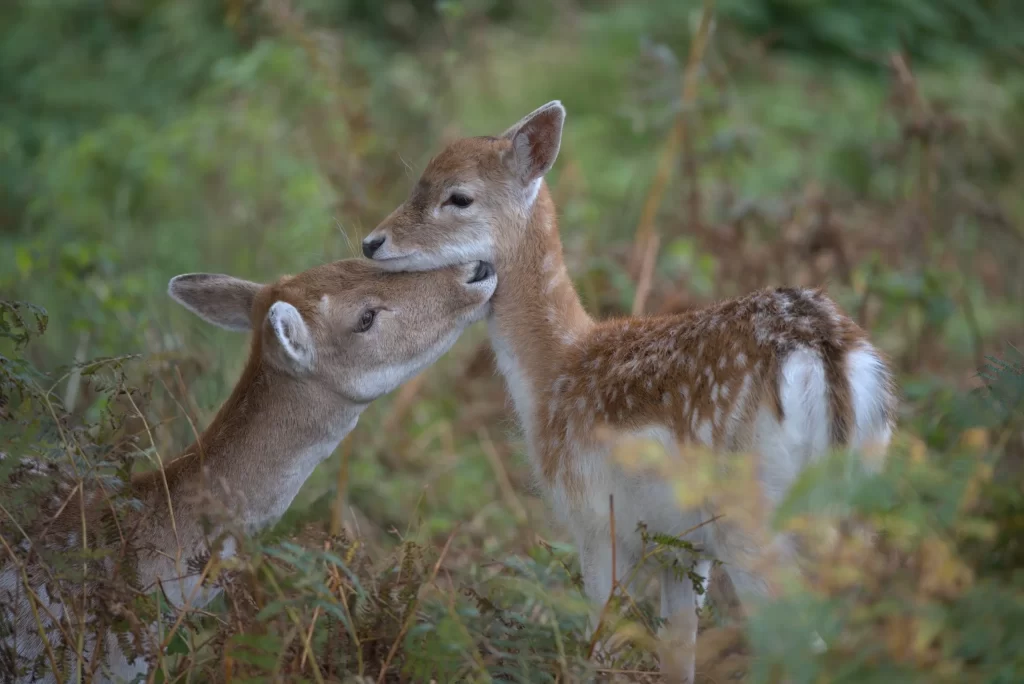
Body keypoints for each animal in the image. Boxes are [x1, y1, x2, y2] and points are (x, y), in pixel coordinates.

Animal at [362, 100, 897, 679]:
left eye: (458, 196)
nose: (372, 242)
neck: (553, 372)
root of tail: (825, 352)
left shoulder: (594, 517)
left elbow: (599, 638)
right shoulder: (681, 548)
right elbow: (678, 653)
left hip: (751, 514)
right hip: (859, 508)